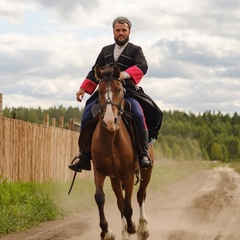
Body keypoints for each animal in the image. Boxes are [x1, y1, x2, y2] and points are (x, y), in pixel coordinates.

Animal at [92, 65, 154, 240]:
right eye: (99, 92)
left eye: (119, 89)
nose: (109, 121)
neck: (111, 139)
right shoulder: (100, 171)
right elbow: (100, 198)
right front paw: (106, 232)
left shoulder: (128, 174)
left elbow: (128, 205)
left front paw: (133, 227)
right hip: (115, 178)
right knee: (120, 203)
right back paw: (125, 232)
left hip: (147, 171)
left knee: (140, 195)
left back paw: (142, 228)